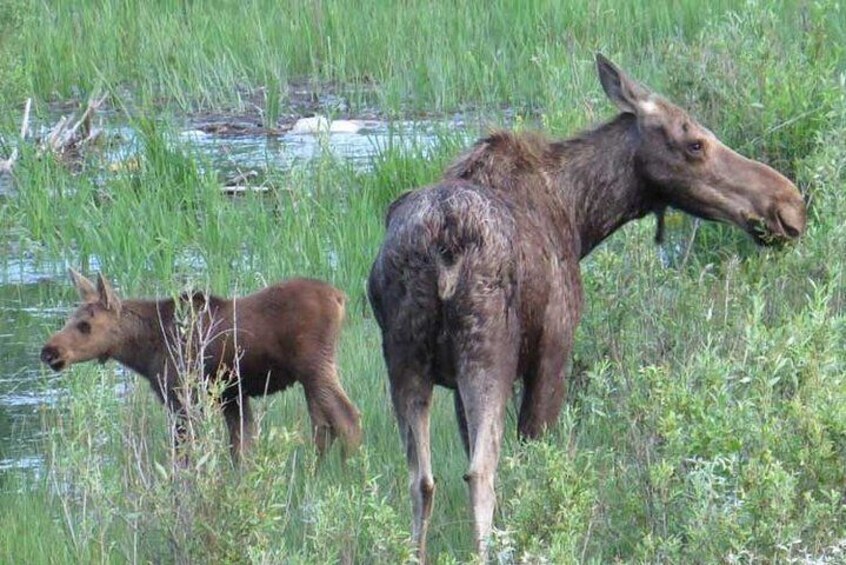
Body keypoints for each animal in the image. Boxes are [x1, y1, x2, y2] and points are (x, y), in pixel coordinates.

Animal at [43, 270, 362, 462]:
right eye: (69, 318)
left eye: (85, 325)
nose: (48, 351)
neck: (143, 351)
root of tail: (340, 298)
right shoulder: (233, 395)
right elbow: (241, 450)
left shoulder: (182, 395)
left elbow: (186, 455)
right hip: (313, 373)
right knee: (323, 425)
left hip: (315, 366)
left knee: (346, 418)